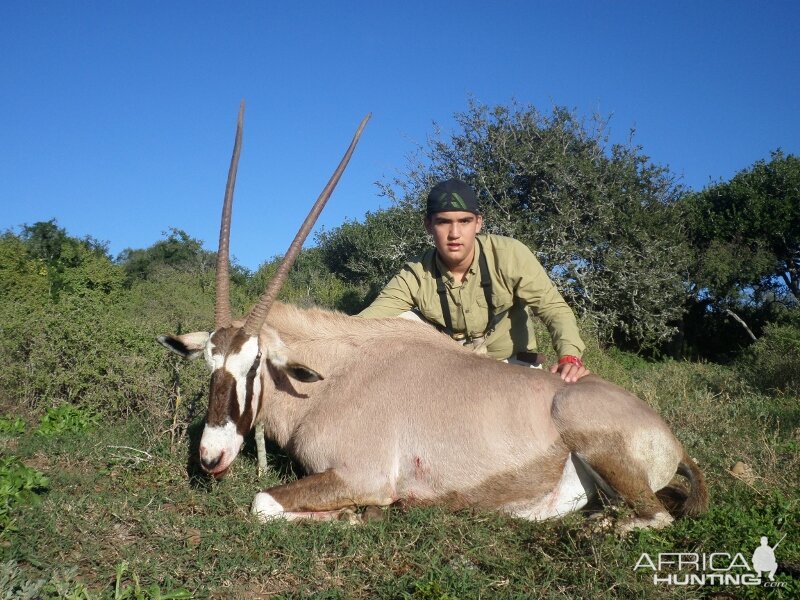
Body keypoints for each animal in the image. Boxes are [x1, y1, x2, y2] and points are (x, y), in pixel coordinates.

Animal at [159, 105, 708, 532]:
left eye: (253, 366)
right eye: (209, 364)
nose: (210, 458)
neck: (335, 378)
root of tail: (670, 438)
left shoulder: (361, 475)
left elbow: (262, 502)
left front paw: (358, 514)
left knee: (656, 516)